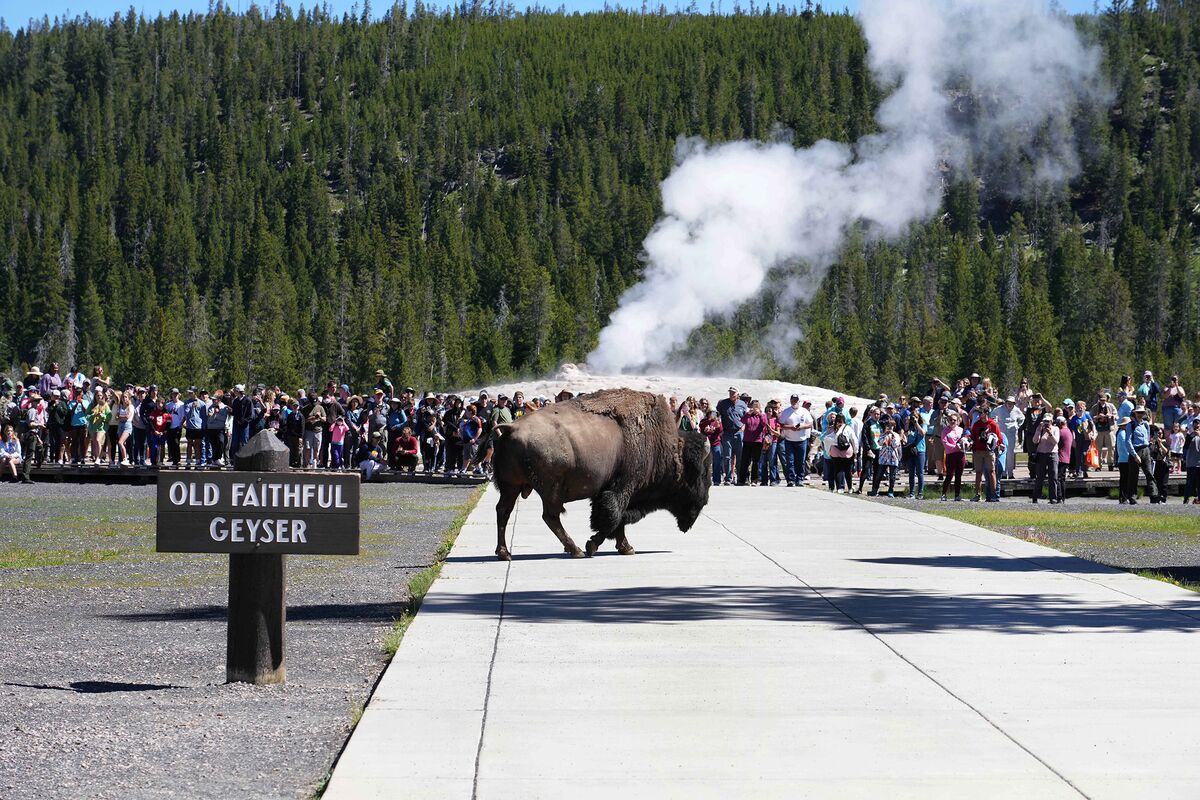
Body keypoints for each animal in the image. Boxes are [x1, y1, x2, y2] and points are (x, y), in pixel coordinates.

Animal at [489, 391, 710, 561]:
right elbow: (613, 518)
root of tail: (511, 427)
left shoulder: (612, 492)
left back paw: (505, 553)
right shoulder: (622, 488)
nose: (704, 501)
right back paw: (576, 550)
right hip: (549, 490)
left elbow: (618, 520)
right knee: (549, 516)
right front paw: (592, 545)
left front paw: (626, 548)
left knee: (504, 511)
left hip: (511, 487)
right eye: (702, 473)